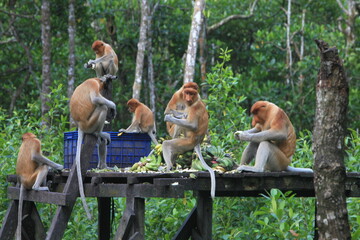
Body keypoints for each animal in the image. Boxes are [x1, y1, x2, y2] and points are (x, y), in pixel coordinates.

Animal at [69, 73, 116, 219]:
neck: (94, 79)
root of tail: (80, 125)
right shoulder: (93, 85)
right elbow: (96, 98)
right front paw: (113, 106)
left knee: (101, 142)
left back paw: (103, 166)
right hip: (90, 122)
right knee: (102, 107)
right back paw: (100, 132)